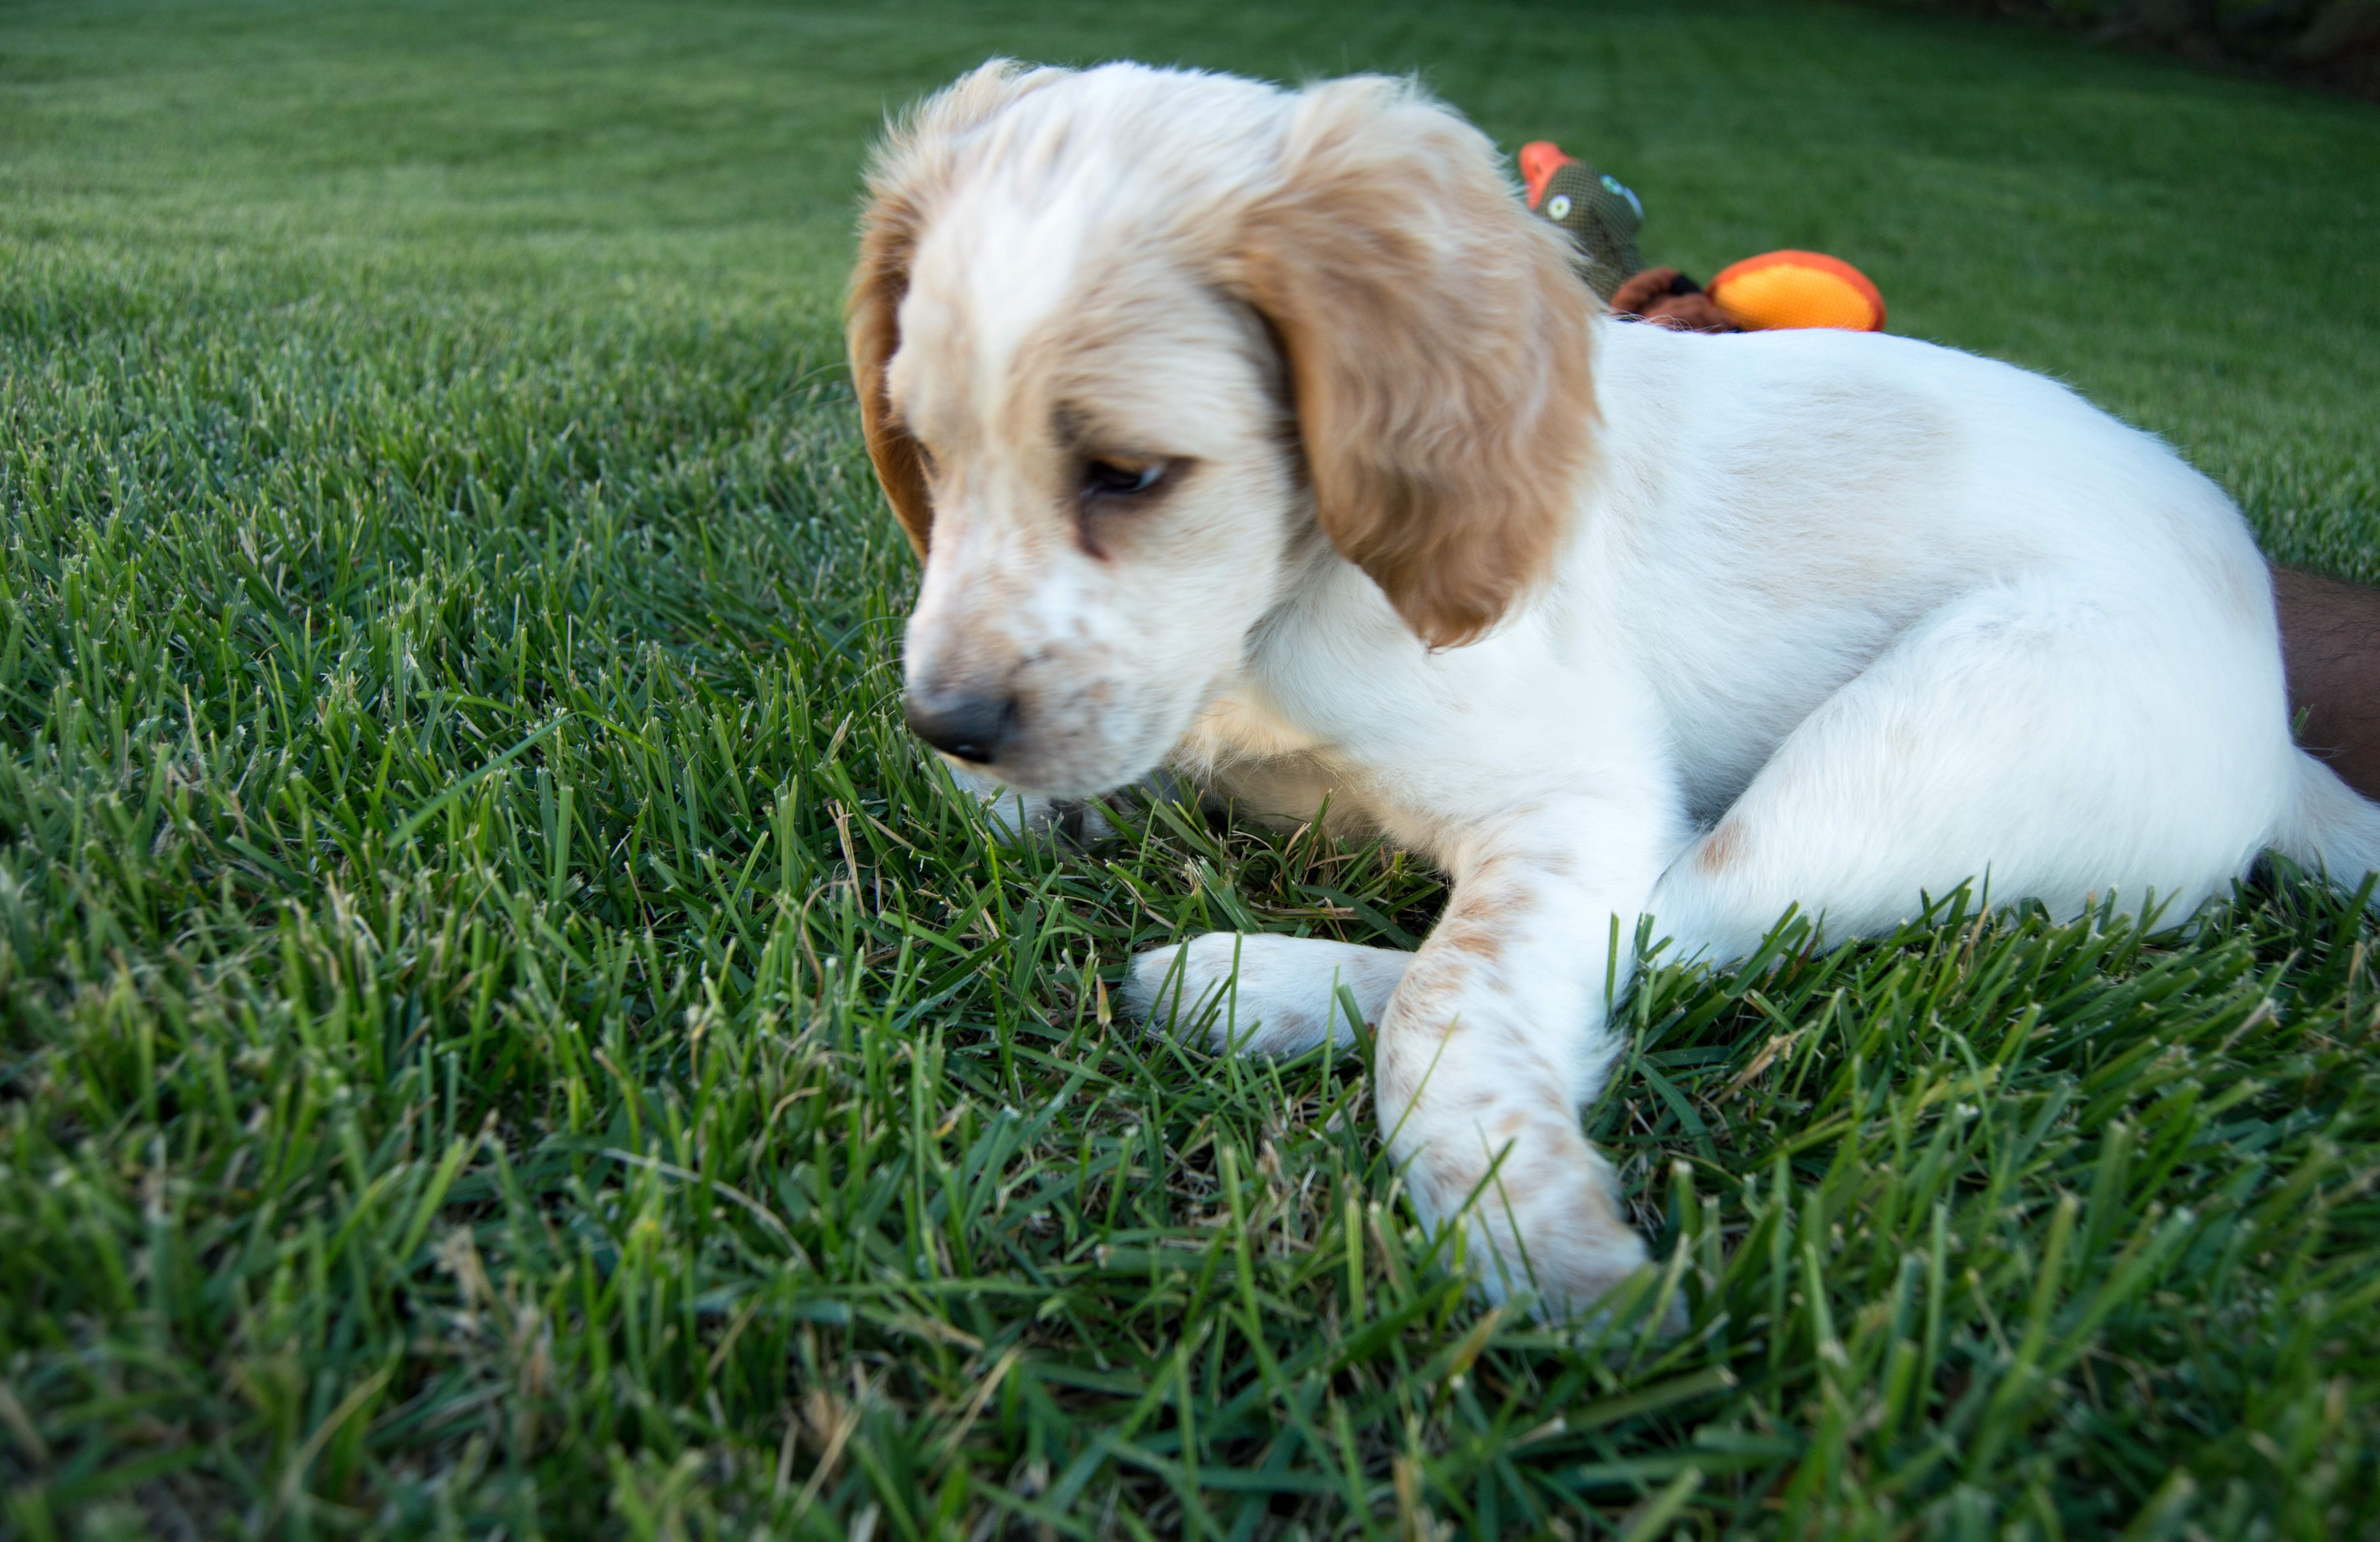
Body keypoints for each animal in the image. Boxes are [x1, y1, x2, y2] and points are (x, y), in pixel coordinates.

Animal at [847, 60, 2380, 1313]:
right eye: (924, 452)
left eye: (1130, 474)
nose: (954, 721)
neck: (1281, 616)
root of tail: (2273, 734)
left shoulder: (1570, 800)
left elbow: (1460, 994)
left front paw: (1519, 1222)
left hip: (1946, 717)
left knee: (1681, 922)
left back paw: (1255, 981)